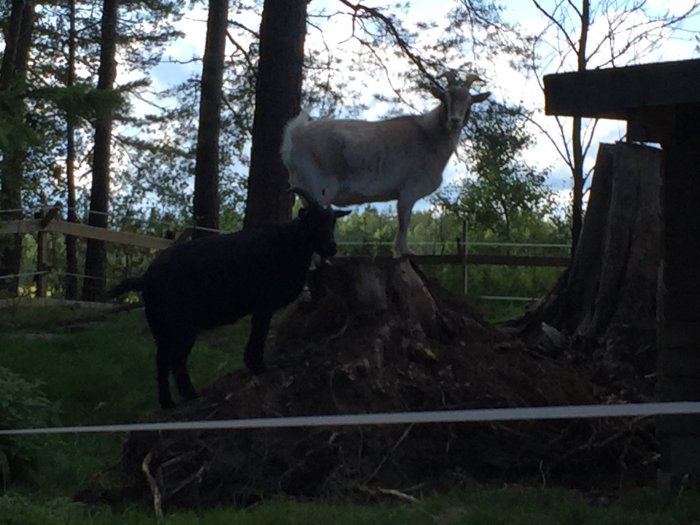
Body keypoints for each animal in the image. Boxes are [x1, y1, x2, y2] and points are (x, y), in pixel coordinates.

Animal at [110, 188, 350, 410]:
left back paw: (168, 403)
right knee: (176, 360)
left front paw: (253, 364)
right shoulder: (264, 304)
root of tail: (146, 278)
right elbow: (260, 332)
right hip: (182, 325)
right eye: (313, 220)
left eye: (332, 222)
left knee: (161, 361)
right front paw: (258, 366)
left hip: (160, 328)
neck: (288, 244)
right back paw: (192, 395)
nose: (332, 248)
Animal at [282, 72, 490, 256]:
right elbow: (404, 220)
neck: (428, 134)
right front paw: (404, 251)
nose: (455, 121)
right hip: (319, 188)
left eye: (470, 102)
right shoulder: (408, 191)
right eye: (445, 99)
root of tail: (294, 136)